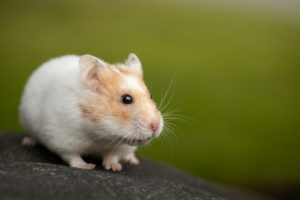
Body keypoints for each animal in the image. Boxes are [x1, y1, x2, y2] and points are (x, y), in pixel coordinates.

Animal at [19, 54, 164, 171]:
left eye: (151, 96)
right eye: (127, 99)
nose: (156, 125)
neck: (101, 134)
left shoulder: (119, 147)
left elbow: (112, 156)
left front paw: (115, 168)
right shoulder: (61, 138)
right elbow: (72, 156)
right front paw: (88, 167)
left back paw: (132, 160)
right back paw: (28, 142)